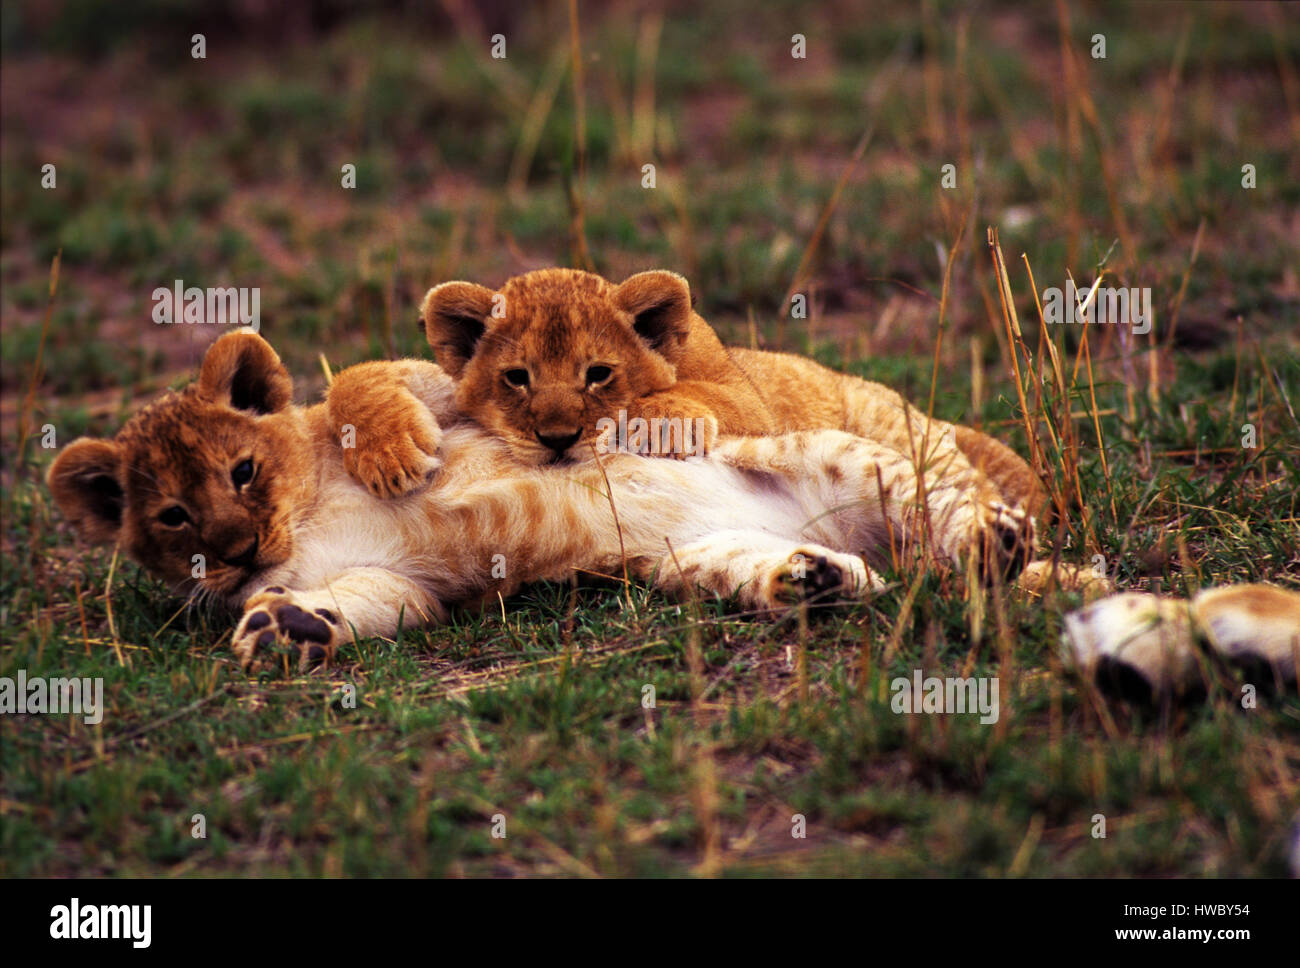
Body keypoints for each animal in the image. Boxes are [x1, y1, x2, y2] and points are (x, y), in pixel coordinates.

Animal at [48, 330, 1037, 673]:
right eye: (173, 518)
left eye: (242, 472)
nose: (237, 550)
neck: (302, 515)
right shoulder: (407, 587)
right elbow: (361, 602)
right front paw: (289, 627)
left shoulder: (456, 393)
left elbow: (373, 388)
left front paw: (390, 445)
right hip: (697, 560)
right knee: (859, 578)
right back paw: (812, 578)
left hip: (835, 452)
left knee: (944, 510)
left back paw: (994, 542)